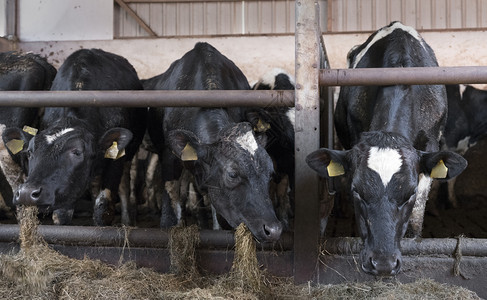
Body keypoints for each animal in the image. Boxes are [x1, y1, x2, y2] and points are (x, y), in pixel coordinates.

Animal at [304, 21, 468, 276]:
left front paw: (413, 239)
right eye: (357, 191)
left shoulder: (430, 143)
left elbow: (419, 206)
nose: (382, 263)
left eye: (408, 193)